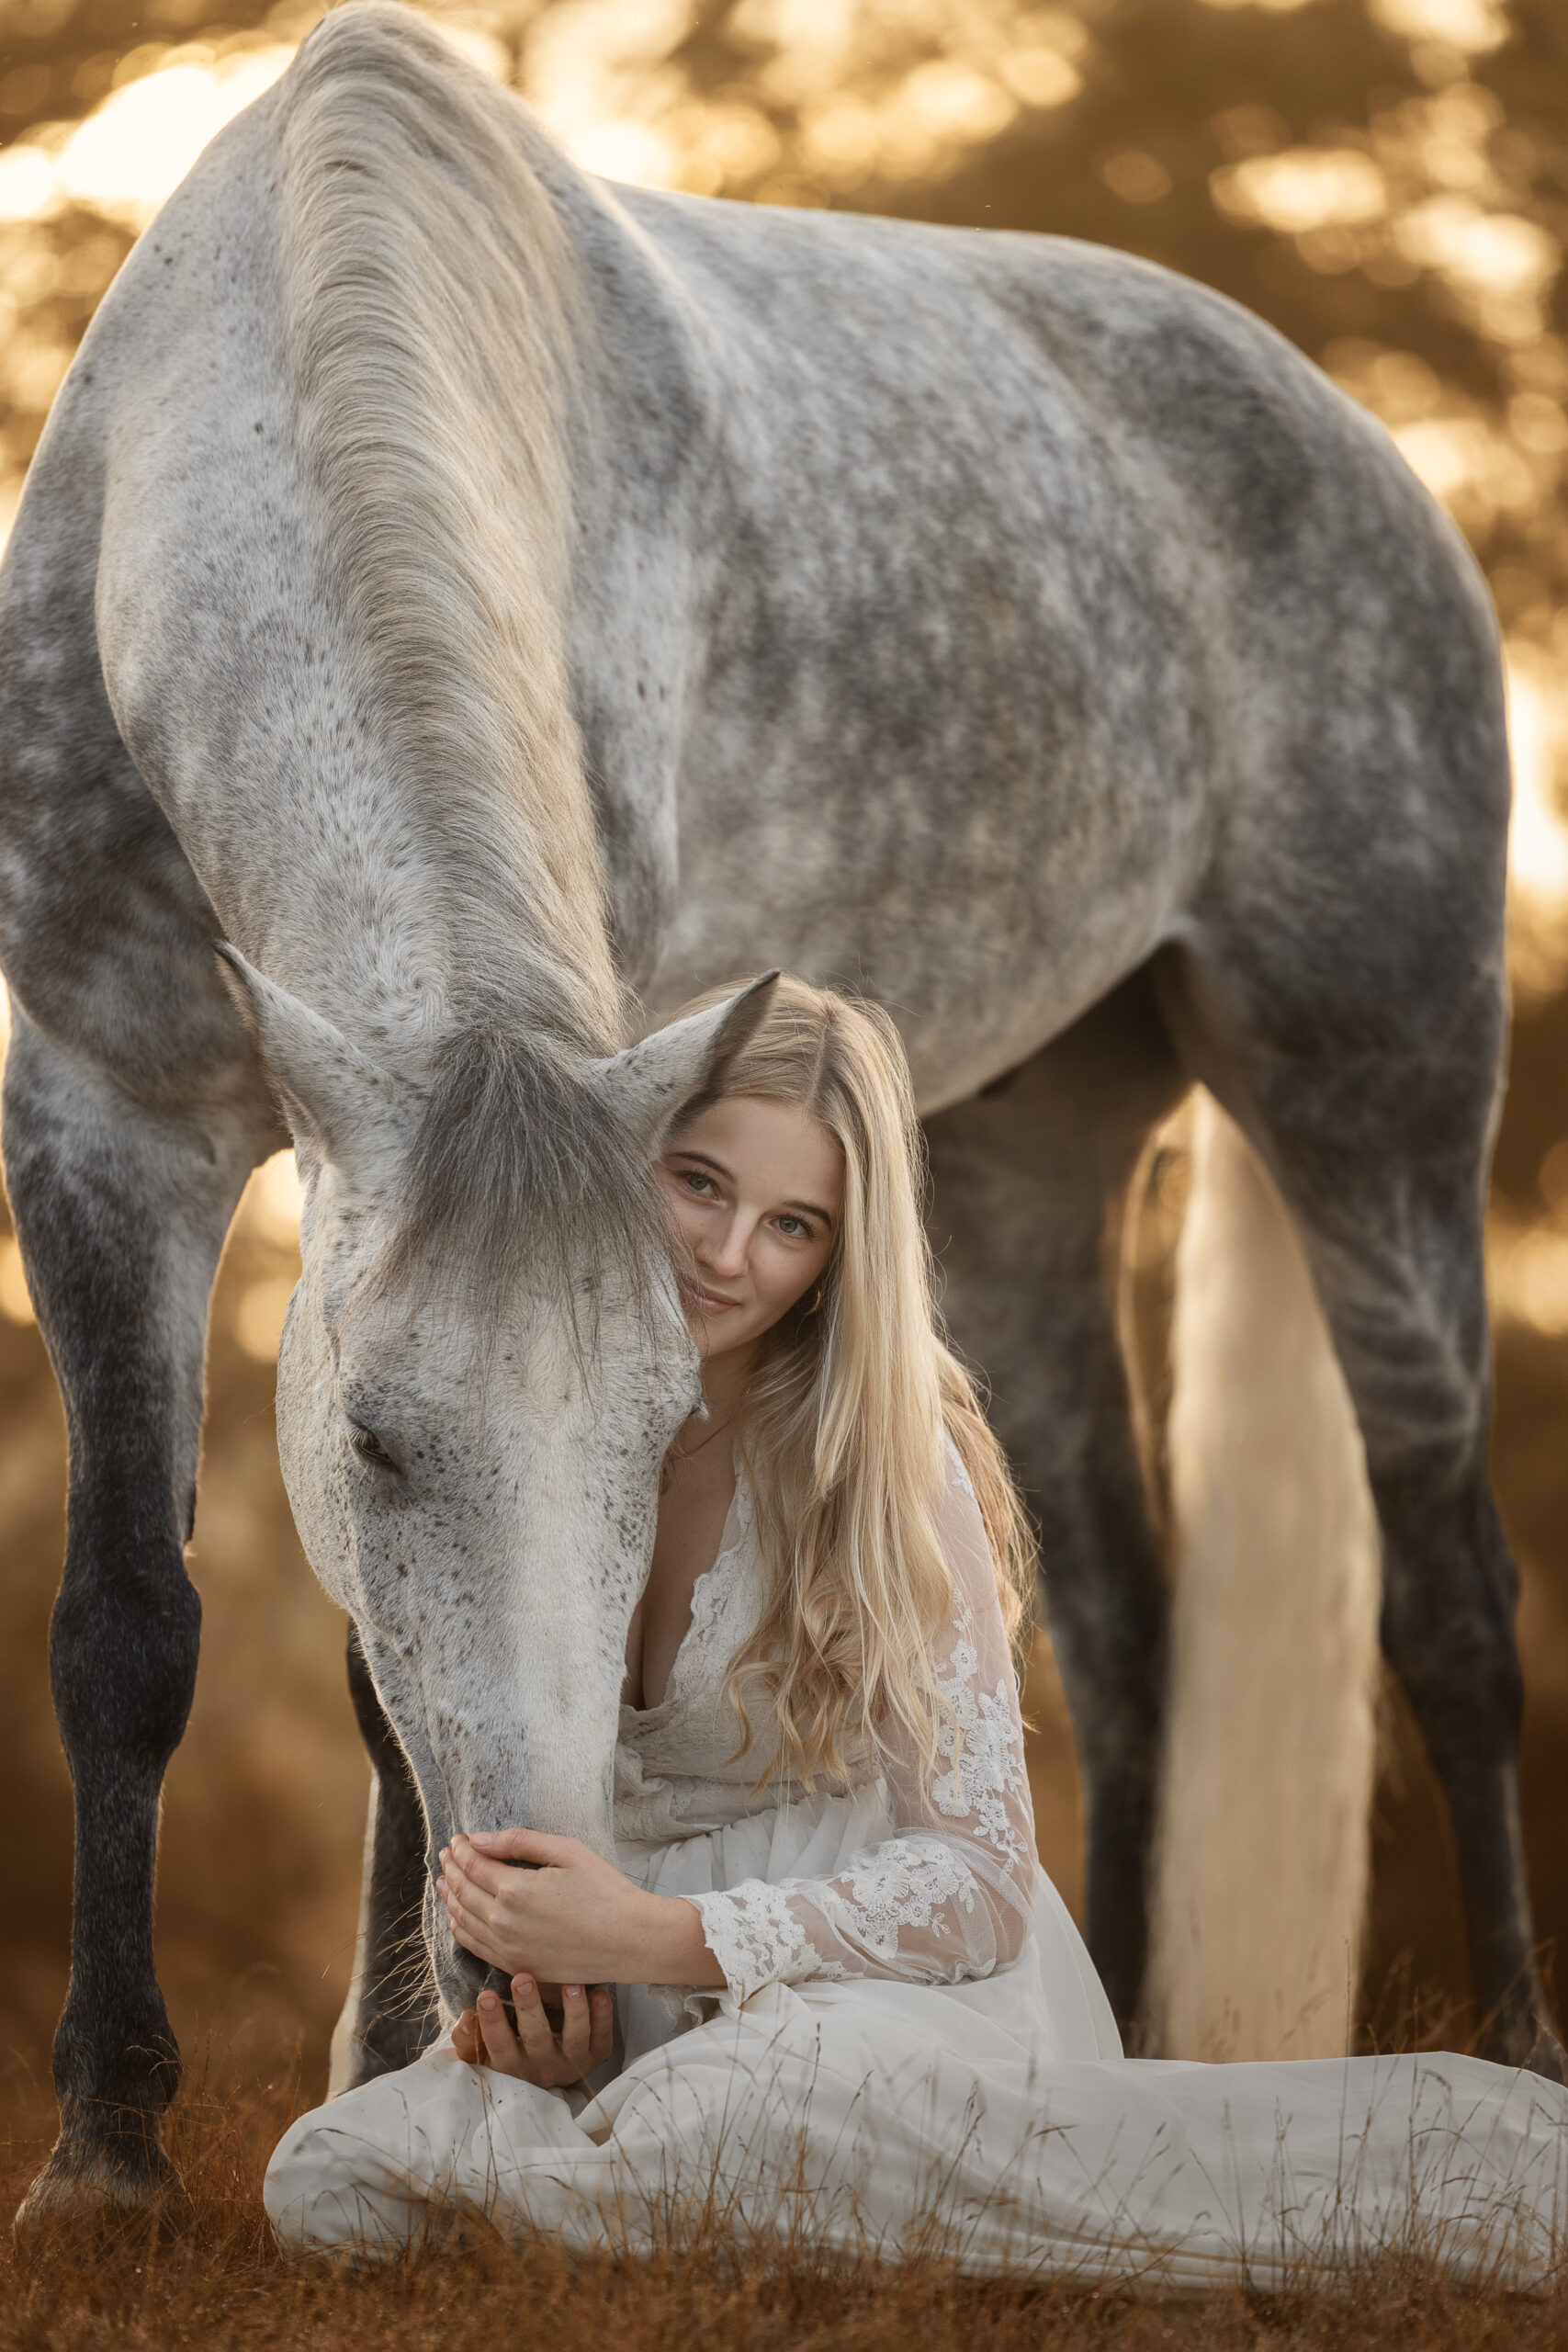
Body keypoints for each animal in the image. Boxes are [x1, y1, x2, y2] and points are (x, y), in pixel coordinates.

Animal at [0, 1, 1554, 2231]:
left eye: (672, 1432)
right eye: (375, 1441)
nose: (546, 1984)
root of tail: (1357, 446)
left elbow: (378, 1706)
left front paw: (381, 2074)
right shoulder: (95, 1112)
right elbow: (127, 1626)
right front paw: (110, 2156)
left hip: (1376, 1107)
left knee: (1450, 1608)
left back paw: (1503, 2061)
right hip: (1019, 1154)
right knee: (1119, 1617)